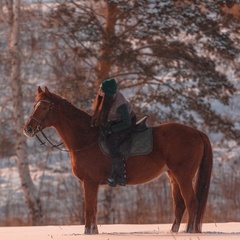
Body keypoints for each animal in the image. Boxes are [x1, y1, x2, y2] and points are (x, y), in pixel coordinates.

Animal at [23, 86, 213, 234]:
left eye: (45, 106)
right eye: (34, 105)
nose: (28, 129)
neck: (86, 138)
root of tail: (197, 133)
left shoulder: (89, 182)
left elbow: (89, 212)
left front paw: (88, 233)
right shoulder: (92, 184)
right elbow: (94, 212)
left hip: (183, 176)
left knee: (192, 203)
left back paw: (189, 231)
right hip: (173, 176)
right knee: (180, 206)